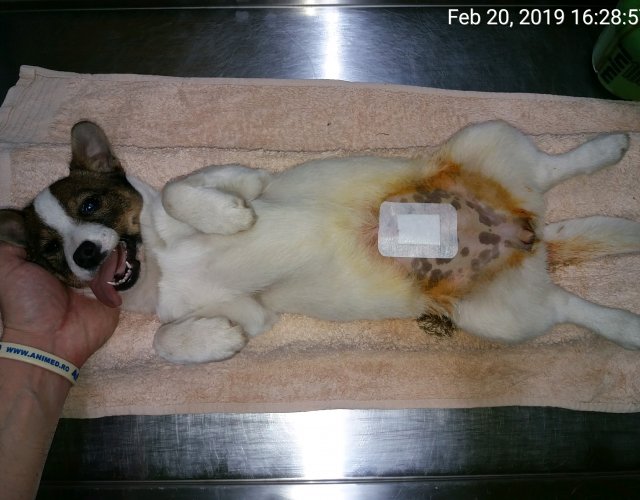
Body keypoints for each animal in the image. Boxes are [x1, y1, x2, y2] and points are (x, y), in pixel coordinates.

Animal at [1, 120, 639, 363]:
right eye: (52, 251)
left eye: (91, 205)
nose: (85, 255)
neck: (159, 264)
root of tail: (527, 233)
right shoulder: (253, 313)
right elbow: (164, 339)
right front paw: (214, 340)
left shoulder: (240, 177)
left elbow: (183, 190)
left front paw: (229, 220)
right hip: (502, 314)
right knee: (572, 306)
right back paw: (627, 325)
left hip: (488, 138)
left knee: (557, 167)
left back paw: (605, 147)